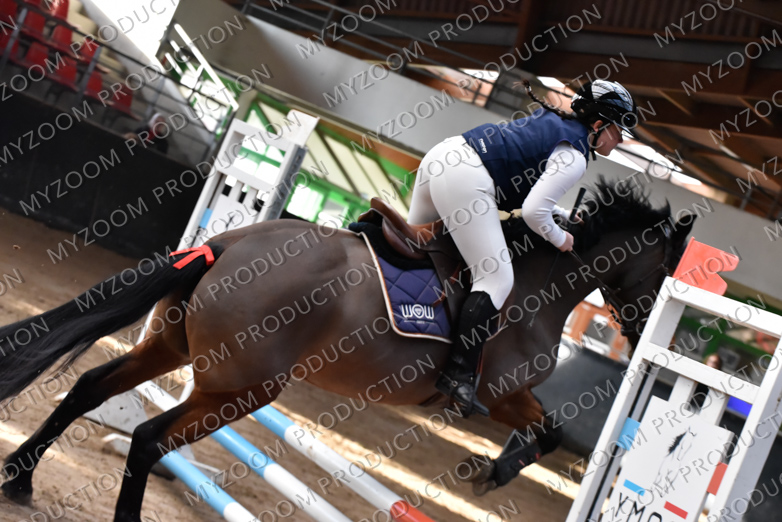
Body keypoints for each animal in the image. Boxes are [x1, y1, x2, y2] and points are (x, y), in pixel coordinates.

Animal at [0, 179, 694, 522]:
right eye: (669, 273)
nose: (650, 333)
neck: (541, 281)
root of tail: (226, 245)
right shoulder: (501, 394)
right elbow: (546, 431)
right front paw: (488, 473)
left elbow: (547, 433)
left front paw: (489, 472)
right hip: (241, 390)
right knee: (147, 439)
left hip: (176, 352)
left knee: (90, 388)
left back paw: (21, 480)